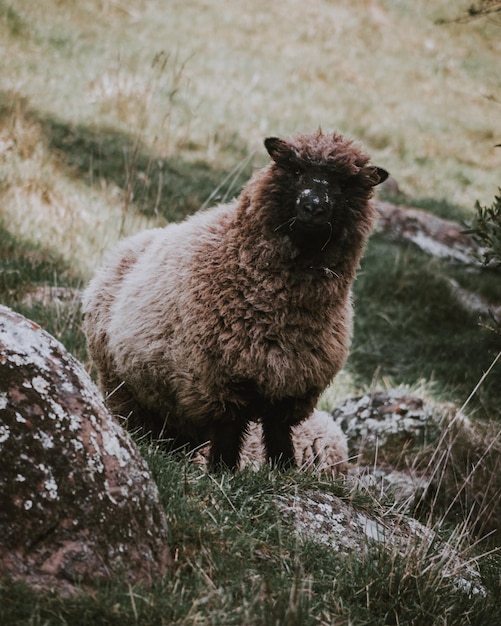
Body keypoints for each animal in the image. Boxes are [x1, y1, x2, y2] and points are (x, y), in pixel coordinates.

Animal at [83, 130, 386, 468]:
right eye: (295, 170)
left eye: (344, 184)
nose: (313, 207)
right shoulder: (218, 382)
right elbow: (228, 432)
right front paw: (223, 470)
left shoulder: (292, 388)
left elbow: (278, 433)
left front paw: (284, 469)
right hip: (120, 383)